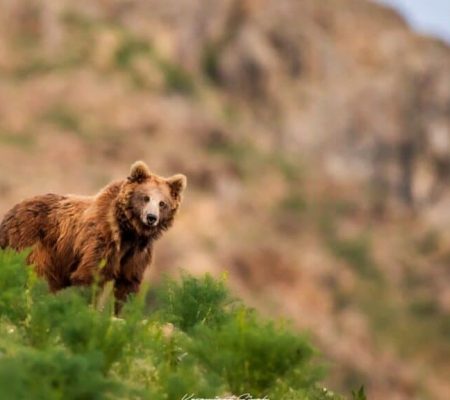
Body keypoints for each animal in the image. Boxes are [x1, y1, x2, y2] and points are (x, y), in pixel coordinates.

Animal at [0, 161, 186, 308]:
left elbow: (127, 286)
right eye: (146, 197)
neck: (128, 232)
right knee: (32, 272)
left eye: (162, 203)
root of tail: (11, 211)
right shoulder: (100, 239)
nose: (151, 218)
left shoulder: (136, 254)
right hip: (32, 240)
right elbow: (90, 277)